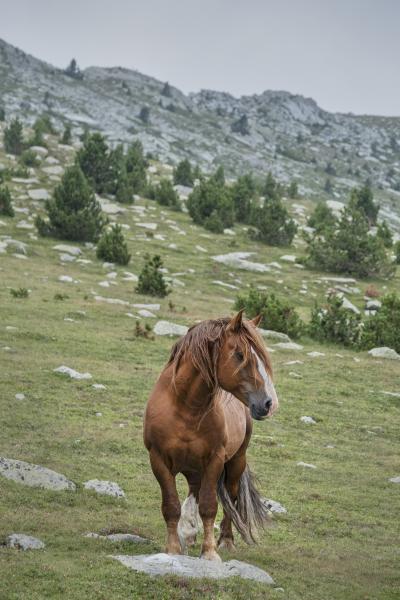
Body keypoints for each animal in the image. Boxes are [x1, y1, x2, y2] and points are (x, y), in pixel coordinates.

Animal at [143, 310, 278, 564]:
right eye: (240, 354)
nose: (268, 403)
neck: (185, 406)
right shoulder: (158, 460)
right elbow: (171, 505)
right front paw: (173, 548)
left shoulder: (215, 459)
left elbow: (209, 506)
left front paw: (209, 552)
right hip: (194, 467)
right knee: (193, 491)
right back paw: (188, 533)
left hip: (235, 463)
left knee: (230, 500)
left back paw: (225, 540)